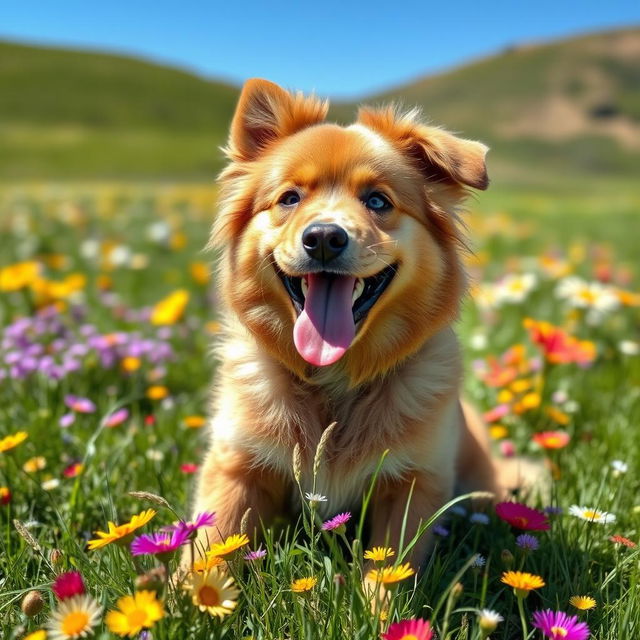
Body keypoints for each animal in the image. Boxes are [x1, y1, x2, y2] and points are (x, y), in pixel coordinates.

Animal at [188, 77, 508, 572]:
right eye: (289, 198)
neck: (334, 381)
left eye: (378, 201)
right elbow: (211, 550)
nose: (323, 237)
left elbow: (390, 570)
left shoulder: (413, 483)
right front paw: (186, 592)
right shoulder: (235, 465)